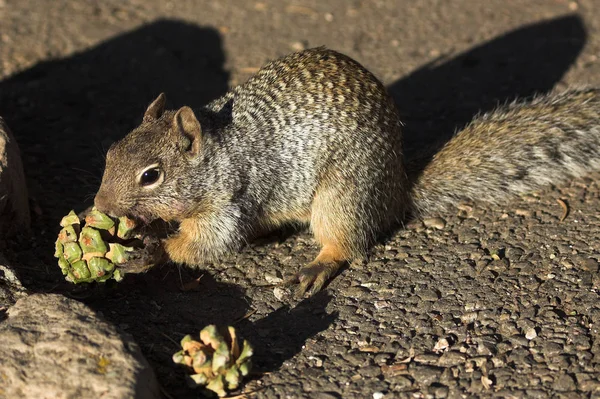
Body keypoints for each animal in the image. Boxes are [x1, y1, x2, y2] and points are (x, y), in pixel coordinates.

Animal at [92, 46, 600, 296]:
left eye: (151, 175)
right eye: (111, 153)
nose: (100, 204)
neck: (219, 152)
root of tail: (397, 188)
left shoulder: (230, 199)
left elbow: (208, 243)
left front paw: (152, 250)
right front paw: (139, 230)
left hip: (345, 194)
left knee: (346, 244)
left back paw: (318, 265)